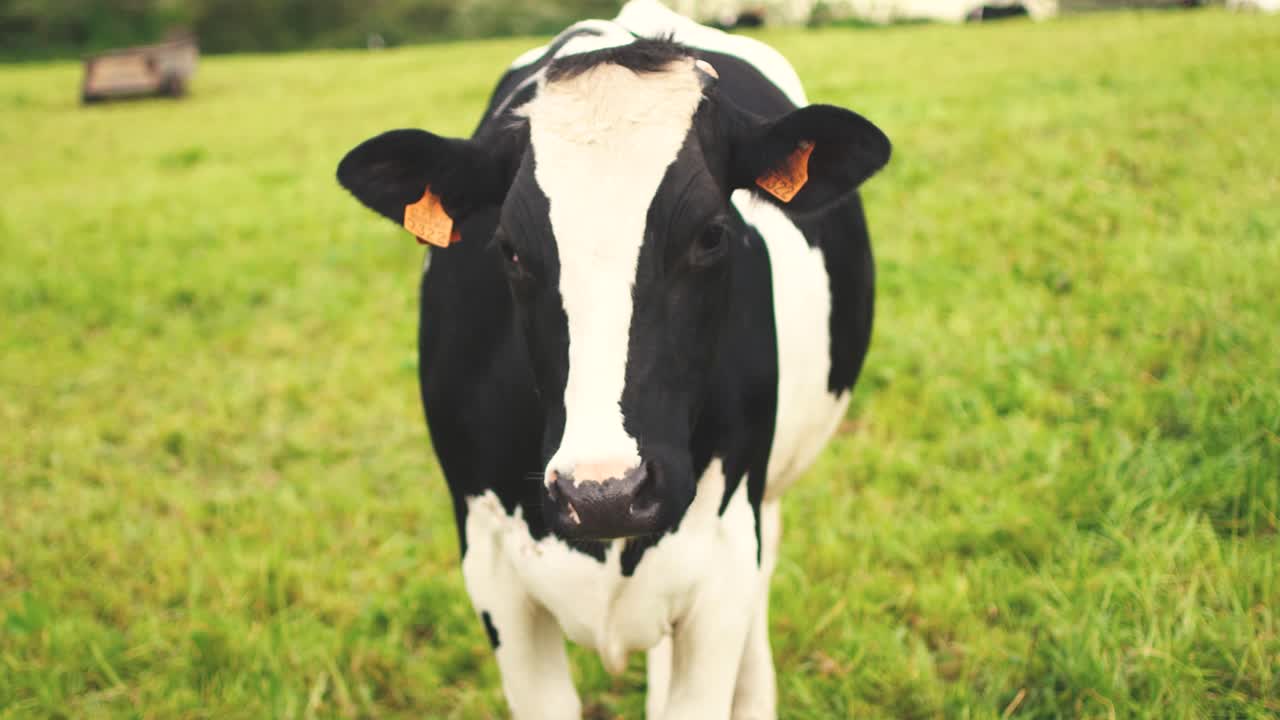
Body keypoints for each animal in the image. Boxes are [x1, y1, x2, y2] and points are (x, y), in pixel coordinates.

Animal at [335, 2, 890, 718]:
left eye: (712, 234)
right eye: (510, 249)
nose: (605, 493)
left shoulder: (723, 563)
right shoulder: (489, 565)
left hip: (763, 504)